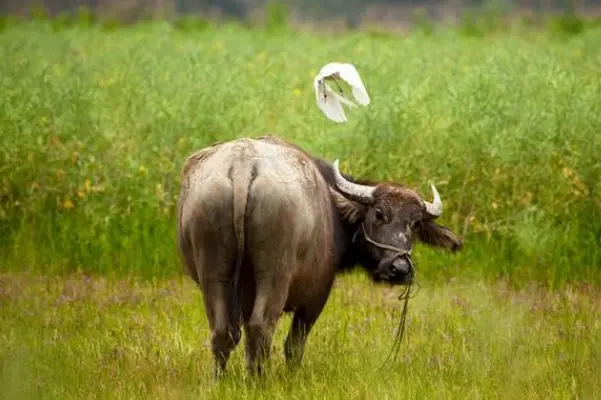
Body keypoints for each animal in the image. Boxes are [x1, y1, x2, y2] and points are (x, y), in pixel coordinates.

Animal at [176, 134, 462, 378]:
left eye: (415, 223)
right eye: (379, 214)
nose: (400, 269)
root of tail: (243, 165)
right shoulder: (316, 295)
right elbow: (294, 345)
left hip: (214, 272)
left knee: (223, 332)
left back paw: (223, 380)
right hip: (274, 274)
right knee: (261, 327)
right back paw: (260, 381)